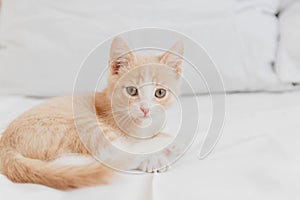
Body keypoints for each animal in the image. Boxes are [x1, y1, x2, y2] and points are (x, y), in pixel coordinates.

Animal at [0, 36, 183, 190]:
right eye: (132, 91)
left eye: (160, 93)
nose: (145, 109)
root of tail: (5, 144)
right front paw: (155, 157)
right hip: (83, 124)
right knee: (110, 156)